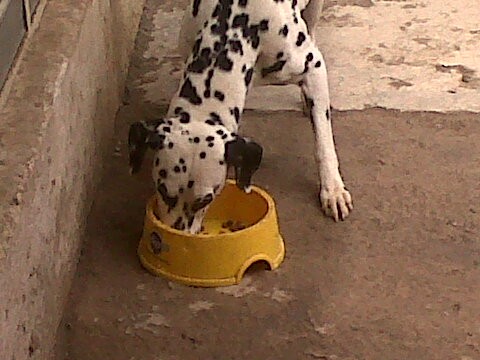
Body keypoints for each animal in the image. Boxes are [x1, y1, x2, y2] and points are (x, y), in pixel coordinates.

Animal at [127, 0, 352, 235]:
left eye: (205, 200)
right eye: (162, 190)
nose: (179, 236)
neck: (239, 23)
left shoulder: (313, 68)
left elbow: (323, 143)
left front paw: (332, 190)